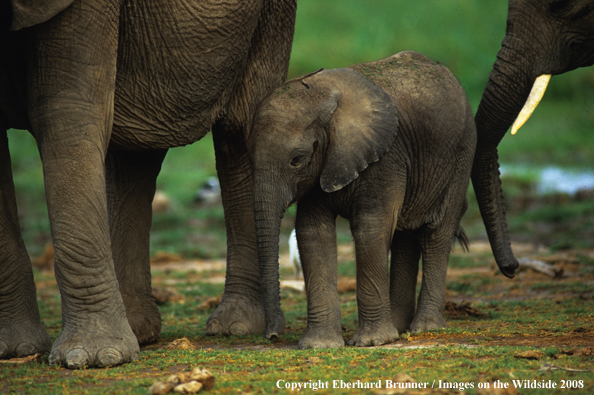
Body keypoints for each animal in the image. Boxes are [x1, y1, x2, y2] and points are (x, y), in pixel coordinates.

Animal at [0, 0, 294, 368]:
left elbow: (66, 115)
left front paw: (90, 358)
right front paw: (17, 349)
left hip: (271, 16)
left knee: (238, 131)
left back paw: (237, 326)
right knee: (135, 152)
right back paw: (138, 329)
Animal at [247, 50, 474, 350]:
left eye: (297, 160)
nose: (273, 335)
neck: (321, 96)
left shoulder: (386, 157)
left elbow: (370, 227)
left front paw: (371, 342)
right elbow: (312, 233)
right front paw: (320, 345)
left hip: (462, 154)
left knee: (436, 232)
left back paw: (426, 328)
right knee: (404, 234)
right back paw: (399, 327)